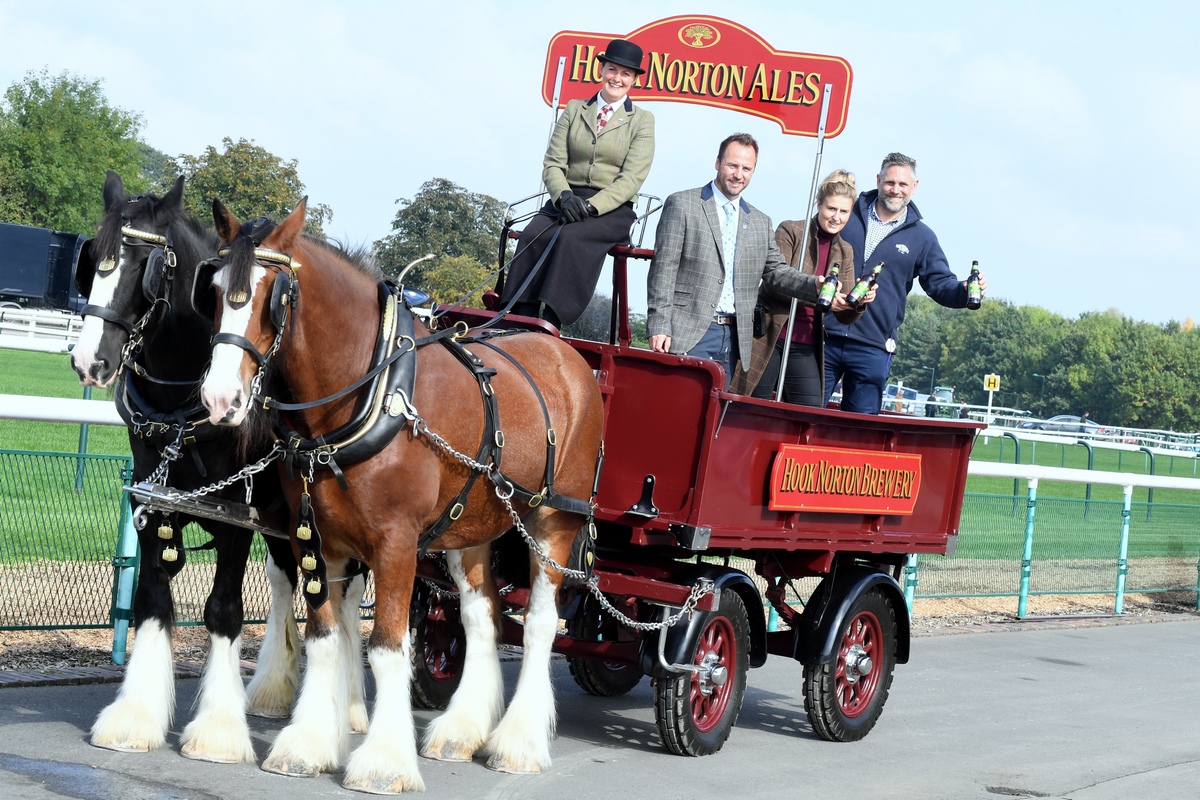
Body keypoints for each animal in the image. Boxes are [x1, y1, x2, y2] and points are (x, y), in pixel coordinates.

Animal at [199, 200, 609, 796]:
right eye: (211, 289)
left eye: (273, 293)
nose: (219, 397)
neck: (368, 392)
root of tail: (570, 356)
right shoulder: (317, 539)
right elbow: (326, 636)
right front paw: (309, 745)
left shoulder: (395, 545)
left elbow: (388, 648)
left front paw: (383, 762)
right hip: (471, 525)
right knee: (482, 616)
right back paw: (462, 729)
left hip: (554, 523)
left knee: (537, 623)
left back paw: (520, 743)